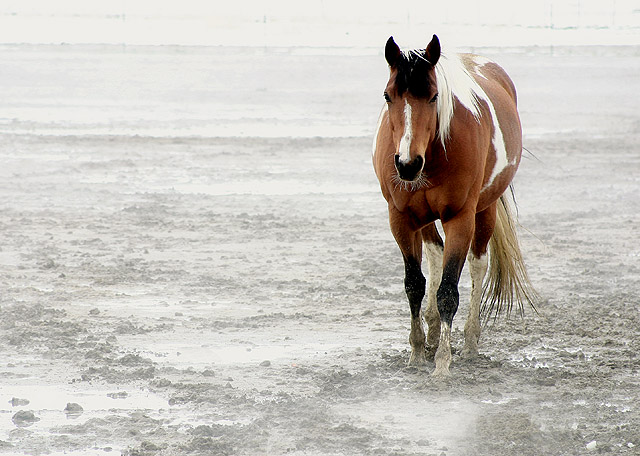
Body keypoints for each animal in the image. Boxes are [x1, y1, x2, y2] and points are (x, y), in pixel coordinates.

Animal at [372, 33, 536, 378]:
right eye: (388, 95)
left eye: (434, 96)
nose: (407, 164)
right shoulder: (401, 219)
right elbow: (415, 284)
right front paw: (417, 353)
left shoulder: (460, 218)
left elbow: (448, 290)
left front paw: (443, 364)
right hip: (424, 219)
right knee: (434, 254)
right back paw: (433, 332)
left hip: (485, 209)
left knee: (477, 264)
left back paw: (470, 344)